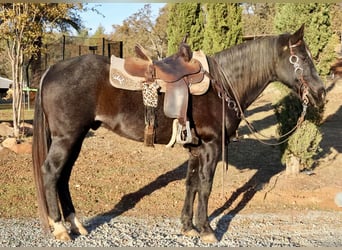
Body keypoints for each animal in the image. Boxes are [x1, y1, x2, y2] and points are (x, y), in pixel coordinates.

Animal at [32, 24, 326, 243]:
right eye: (300, 58)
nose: (321, 92)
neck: (223, 84)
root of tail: (53, 68)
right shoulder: (211, 146)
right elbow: (205, 186)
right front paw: (206, 229)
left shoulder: (196, 148)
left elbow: (190, 184)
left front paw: (187, 226)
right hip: (67, 137)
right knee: (51, 173)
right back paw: (60, 228)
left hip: (76, 137)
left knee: (63, 176)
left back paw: (76, 224)